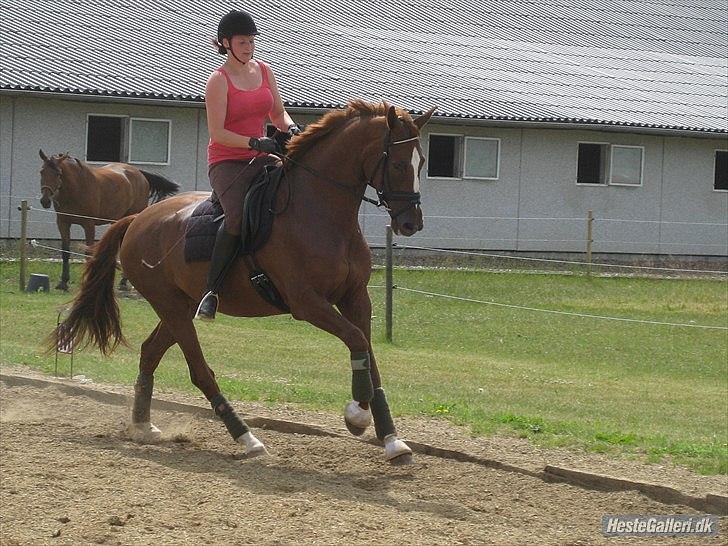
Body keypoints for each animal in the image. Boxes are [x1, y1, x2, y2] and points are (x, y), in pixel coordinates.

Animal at [39, 150, 180, 288]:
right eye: (42, 171)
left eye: (58, 173)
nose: (45, 201)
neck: (77, 188)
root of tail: (140, 174)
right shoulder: (63, 223)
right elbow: (65, 251)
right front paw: (63, 282)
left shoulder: (88, 224)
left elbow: (88, 253)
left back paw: (124, 282)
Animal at [55, 101, 438, 464]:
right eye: (399, 164)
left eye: (421, 164)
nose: (412, 223)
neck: (320, 213)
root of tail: (137, 219)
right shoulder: (307, 303)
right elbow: (357, 341)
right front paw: (356, 416)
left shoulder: (356, 298)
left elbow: (370, 359)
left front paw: (392, 441)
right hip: (172, 307)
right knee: (199, 371)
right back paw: (246, 438)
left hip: (179, 308)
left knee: (150, 352)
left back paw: (142, 425)